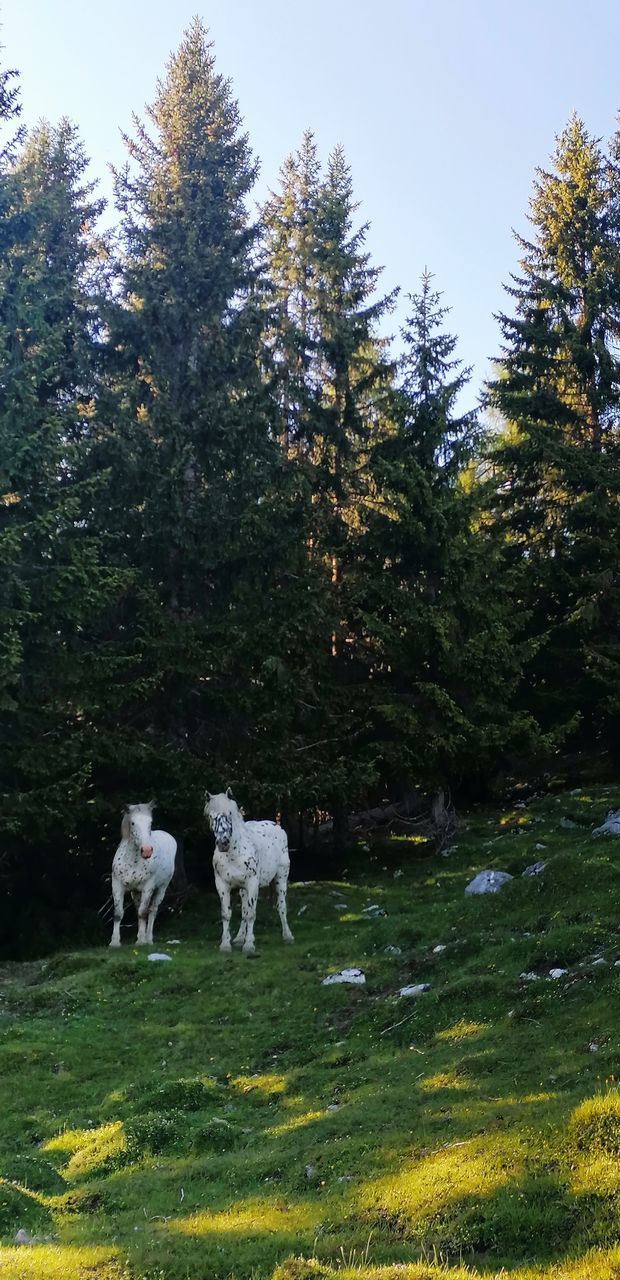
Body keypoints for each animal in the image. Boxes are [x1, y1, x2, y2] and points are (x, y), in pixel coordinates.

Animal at [108, 803, 175, 947]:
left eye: (150, 823)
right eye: (133, 823)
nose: (147, 851)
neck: (132, 861)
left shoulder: (147, 888)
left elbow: (143, 912)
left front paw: (141, 941)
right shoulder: (117, 886)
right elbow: (118, 913)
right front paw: (114, 942)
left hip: (161, 889)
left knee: (152, 911)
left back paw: (148, 939)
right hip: (136, 893)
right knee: (139, 909)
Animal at [204, 783, 294, 957]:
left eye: (230, 814)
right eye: (211, 816)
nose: (223, 843)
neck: (234, 854)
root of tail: (277, 825)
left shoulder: (252, 884)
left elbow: (252, 913)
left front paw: (249, 946)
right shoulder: (222, 885)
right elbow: (228, 914)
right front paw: (226, 945)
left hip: (281, 877)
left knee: (281, 906)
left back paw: (287, 936)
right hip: (242, 889)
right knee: (244, 910)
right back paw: (239, 938)